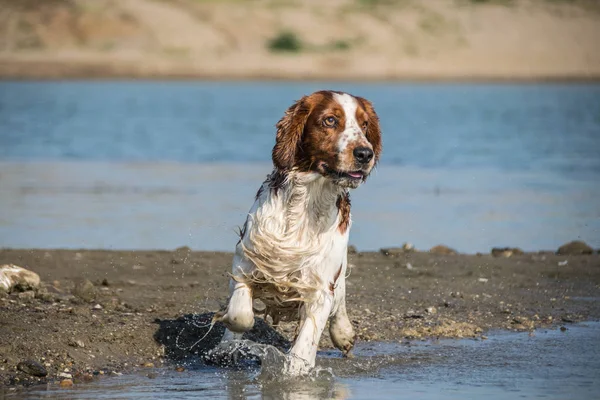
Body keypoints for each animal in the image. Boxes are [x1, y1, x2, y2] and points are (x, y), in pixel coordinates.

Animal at [218, 89, 382, 374]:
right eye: (330, 120)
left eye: (364, 125)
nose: (365, 153)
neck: (307, 202)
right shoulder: (245, 261)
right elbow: (240, 314)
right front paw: (228, 330)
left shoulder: (321, 285)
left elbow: (303, 348)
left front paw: (294, 372)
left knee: (340, 300)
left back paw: (344, 333)